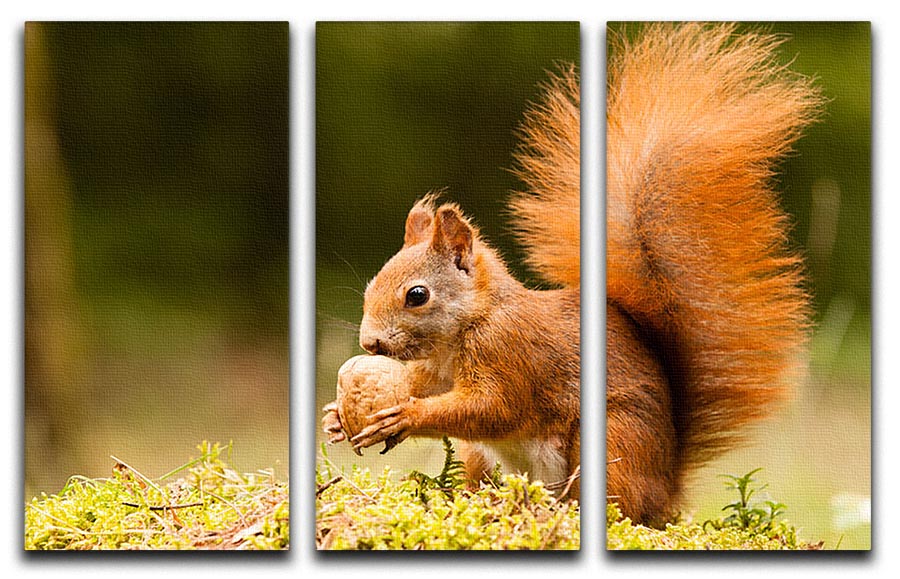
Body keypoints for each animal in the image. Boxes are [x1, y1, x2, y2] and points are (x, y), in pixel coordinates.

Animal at [322, 65, 582, 499]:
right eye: (369, 288)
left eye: (417, 295)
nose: (369, 344)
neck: (460, 334)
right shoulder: (431, 369)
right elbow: (421, 385)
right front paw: (335, 418)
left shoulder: (505, 347)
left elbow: (494, 407)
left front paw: (406, 417)